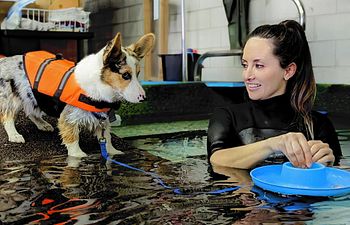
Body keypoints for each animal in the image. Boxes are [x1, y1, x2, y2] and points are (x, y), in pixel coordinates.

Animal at [0, 32, 154, 157]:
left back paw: (43, 125)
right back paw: (14, 135)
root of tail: (4, 60)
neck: (100, 86)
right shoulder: (67, 117)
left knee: (32, 112)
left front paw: (113, 152)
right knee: (7, 116)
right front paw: (78, 155)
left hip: (33, 96)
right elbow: (72, 138)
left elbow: (107, 138)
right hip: (13, 97)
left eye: (138, 74)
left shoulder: (102, 120)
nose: (144, 98)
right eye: (126, 75)